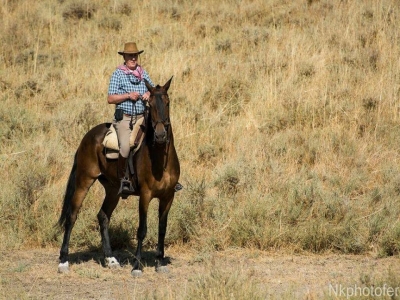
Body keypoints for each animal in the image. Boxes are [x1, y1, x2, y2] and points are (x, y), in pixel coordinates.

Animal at [56, 77, 180, 276]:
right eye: (150, 105)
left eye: (167, 102)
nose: (161, 135)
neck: (160, 160)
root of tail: (88, 136)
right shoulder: (145, 196)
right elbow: (142, 229)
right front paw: (137, 266)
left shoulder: (168, 196)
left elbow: (162, 229)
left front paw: (160, 263)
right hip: (84, 181)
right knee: (72, 217)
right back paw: (64, 261)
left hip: (113, 189)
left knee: (103, 216)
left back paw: (111, 259)